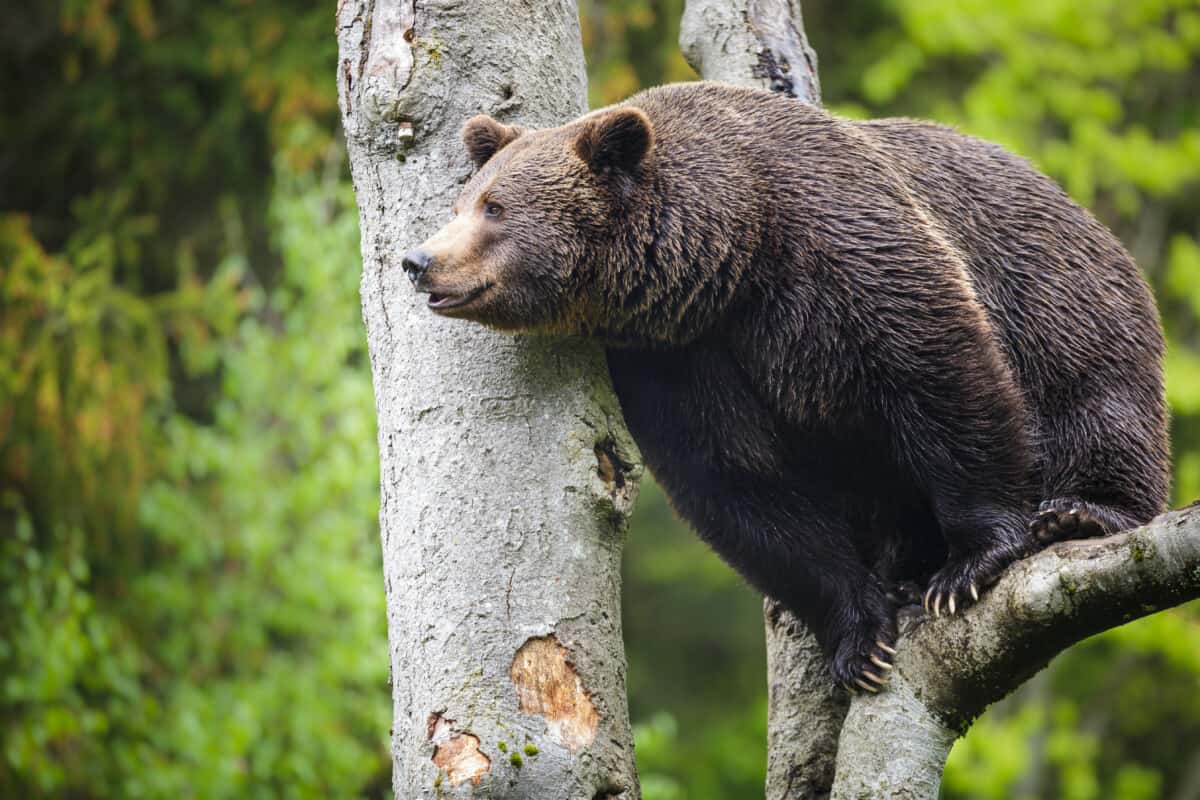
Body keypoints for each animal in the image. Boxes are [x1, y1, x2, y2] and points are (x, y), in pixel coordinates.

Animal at [400, 81, 1170, 691]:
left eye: (495, 207)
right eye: (467, 200)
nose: (418, 260)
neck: (731, 250)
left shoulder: (842, 253)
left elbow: (941, 377)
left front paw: (969, 564)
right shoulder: (678, 359)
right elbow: (743, 485)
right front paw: (860, 638)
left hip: (1060, 293)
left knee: (1095, 397)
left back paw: (1082, 511)